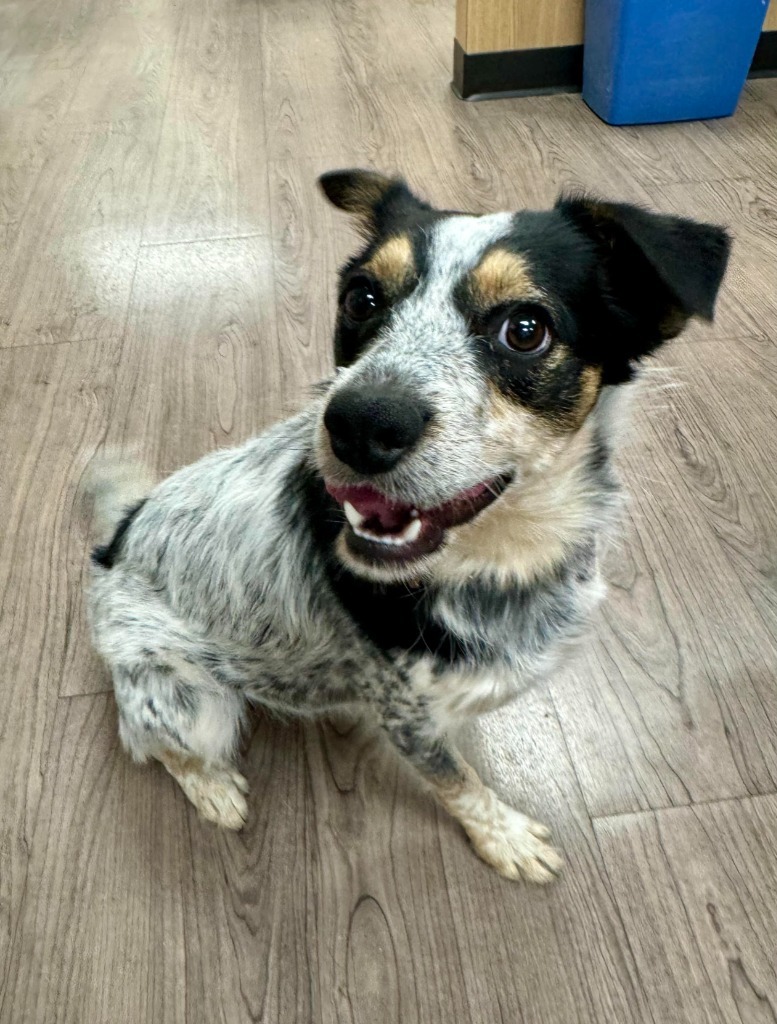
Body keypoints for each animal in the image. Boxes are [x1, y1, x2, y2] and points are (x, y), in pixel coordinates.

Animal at [84, 167, 728, 880]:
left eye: (525, 328)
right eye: (361, 299)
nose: (359, 423)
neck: (503, 560)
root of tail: (114, 544)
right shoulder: (403, 714)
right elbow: (458, 783)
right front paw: (504, 837)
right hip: (191, 703)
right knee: (156, 743)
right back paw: (213, 788)